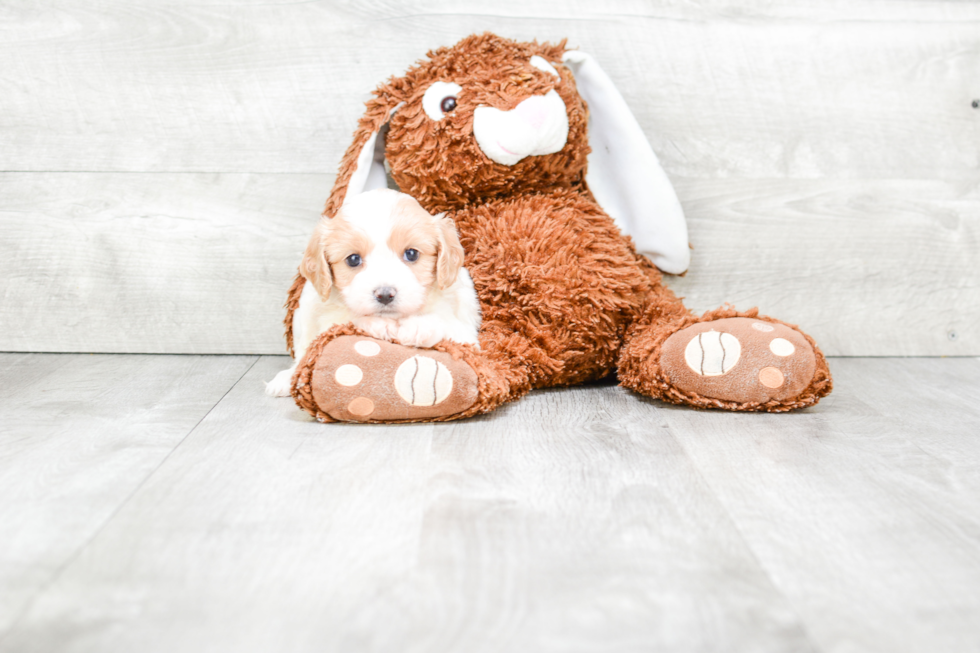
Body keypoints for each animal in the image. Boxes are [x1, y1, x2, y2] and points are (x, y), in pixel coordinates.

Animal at [266, 188, 480, 398]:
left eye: (412, 254)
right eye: (353, 259)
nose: (385, 295)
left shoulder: (467, 333)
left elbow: (447, 321)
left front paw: (419, 326)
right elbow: (346, 318)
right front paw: (378, 323)